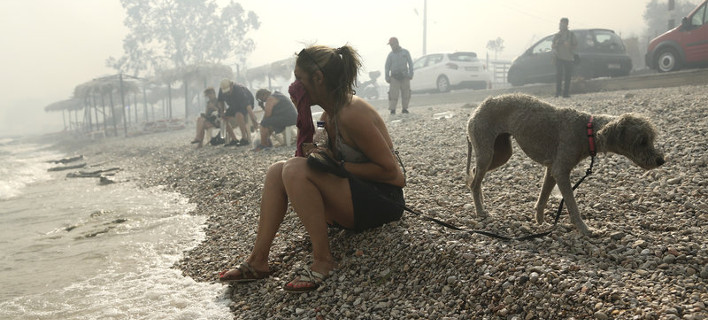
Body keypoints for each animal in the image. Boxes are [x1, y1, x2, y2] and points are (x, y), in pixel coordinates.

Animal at [464, 92, 664, 235]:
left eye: (650, 139)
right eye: (642, 141)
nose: (661, 160)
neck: (587, 131)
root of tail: (475, 111)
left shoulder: (552, 169)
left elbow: (543, 198)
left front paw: (540, 222)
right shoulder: (560, 170)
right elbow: (572, 206)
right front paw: (586, 230)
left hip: (501, 152)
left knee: (475, 173)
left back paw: (481, 202)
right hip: (487, 150)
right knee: (474, 182)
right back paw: (480, 212)